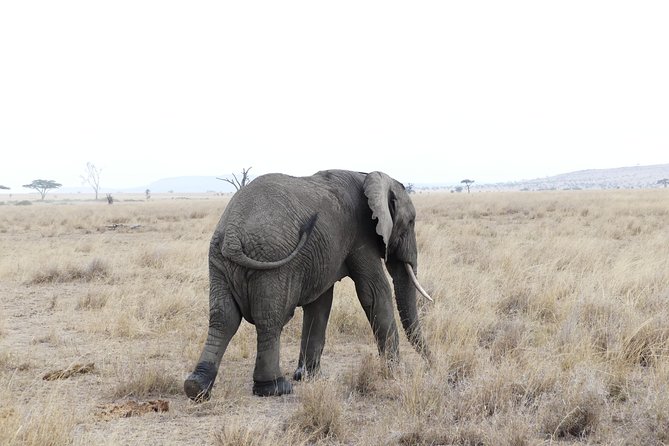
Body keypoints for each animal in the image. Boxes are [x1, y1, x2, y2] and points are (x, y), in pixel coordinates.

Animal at [184, 169, 432, 401]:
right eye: (411, 222)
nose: (432, 364)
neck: (369, 176)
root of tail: (233, 235)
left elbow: (320, 303)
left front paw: (309, 376)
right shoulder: (362, 235)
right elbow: (374, 292)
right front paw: (396, 373)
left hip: (219, 261)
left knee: (223, 318)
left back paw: (197, 387)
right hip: (271, 261)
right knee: (269, 320)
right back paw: (275, 388)